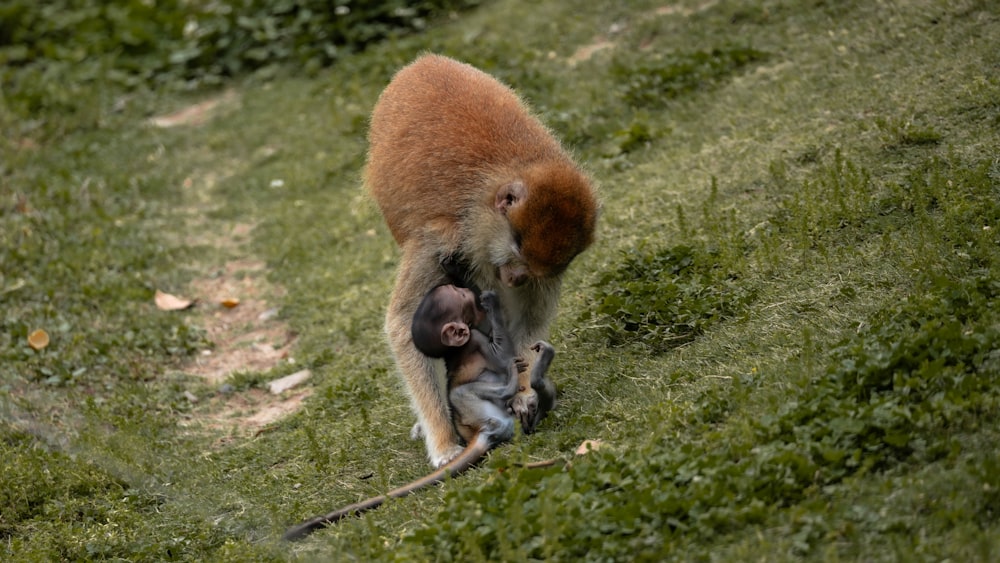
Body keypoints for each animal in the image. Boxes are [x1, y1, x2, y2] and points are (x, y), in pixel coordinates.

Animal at [284, 286, 556, 540]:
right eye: (459, 295)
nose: (466, 289)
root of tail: (483, 430)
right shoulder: (476, 340)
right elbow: (501, 354)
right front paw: (492, 304)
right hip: (472, 410)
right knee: (463, 392)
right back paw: (515, 379)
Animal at [372, 54, 596, 468]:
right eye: (515, 250)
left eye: (530, 269)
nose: (516, 278)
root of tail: (423, 62)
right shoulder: (441, 239)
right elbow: (403, 324)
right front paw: (444, 443)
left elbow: (529, 320)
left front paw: (523, 393)